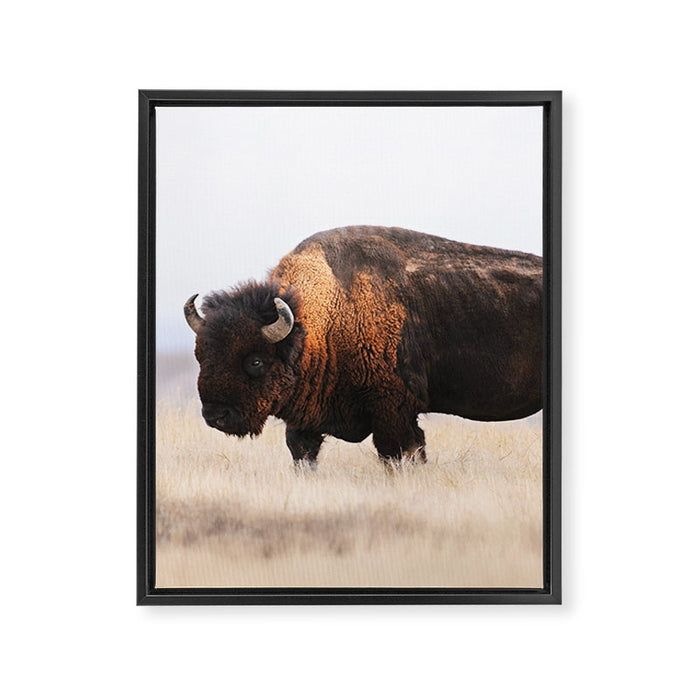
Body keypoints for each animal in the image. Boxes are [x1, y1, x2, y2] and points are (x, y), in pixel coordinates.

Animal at [184, 226, 542, 467]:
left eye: (255, 361)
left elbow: (400, 452)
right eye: (200, 355)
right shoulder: (305, 419)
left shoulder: (393, 409)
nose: (216, 415)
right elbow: (301, 452)